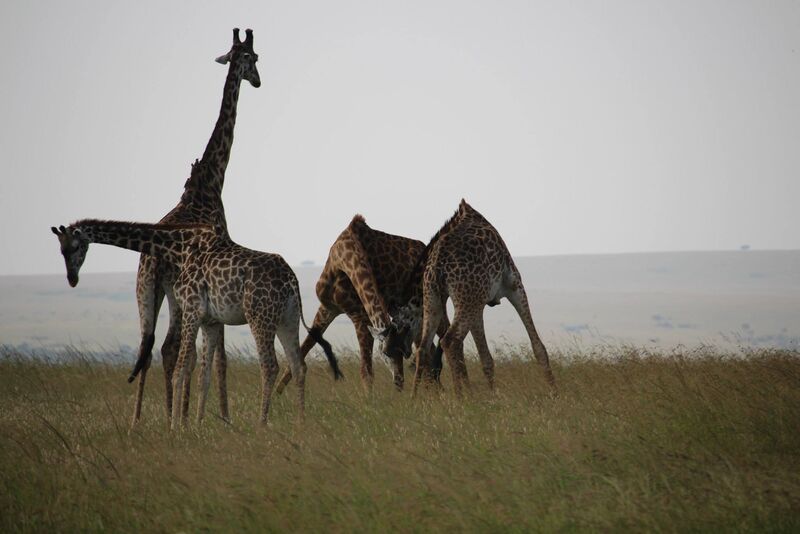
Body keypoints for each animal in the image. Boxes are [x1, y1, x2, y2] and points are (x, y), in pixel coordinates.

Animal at [51, 218, 343, 428]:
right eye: (60, 250)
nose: (71, 278)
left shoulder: (191, 309)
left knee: (270, 366)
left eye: (75, 247)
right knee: (298, 365)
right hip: (287, 319)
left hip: (259, 316)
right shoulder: (210, 321)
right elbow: (204, 375)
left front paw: (175, 429)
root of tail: (292, 280)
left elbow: (180, 370)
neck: (178, 248)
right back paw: (301, 422)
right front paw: (199, 425)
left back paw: (262, 424)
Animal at [128, 28, 260, 427]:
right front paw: (221, 417)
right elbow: (219, 356)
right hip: (171, 292)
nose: (258, 81)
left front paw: (191, 414)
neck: (210, 182)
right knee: (169, 347)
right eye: (254, 58)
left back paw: (139, 421)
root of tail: (151, 258)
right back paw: (175, 416)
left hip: (148, 291)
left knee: (149, 347)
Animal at [274, 215, 448, 392]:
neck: (343, 259)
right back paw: (435, 392)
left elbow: (366, 372)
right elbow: (301, 353)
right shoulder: (328, 308)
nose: (399, 383)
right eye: (386, 353)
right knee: (428, 349)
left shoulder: (360, 316)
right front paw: (276, 395)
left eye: (404, 353)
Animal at [384, 199, 556, 396]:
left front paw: (493, 396)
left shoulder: (478, 302)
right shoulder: (514, 284)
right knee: (449, 341)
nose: (388, 350)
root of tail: (436, 266)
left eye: (400, 326)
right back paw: (461, 398)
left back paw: (415, 397)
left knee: (424, 347)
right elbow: (538, 346)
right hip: (466, 300)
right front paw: (554, 392)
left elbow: (486, 358)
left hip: (436, 299)